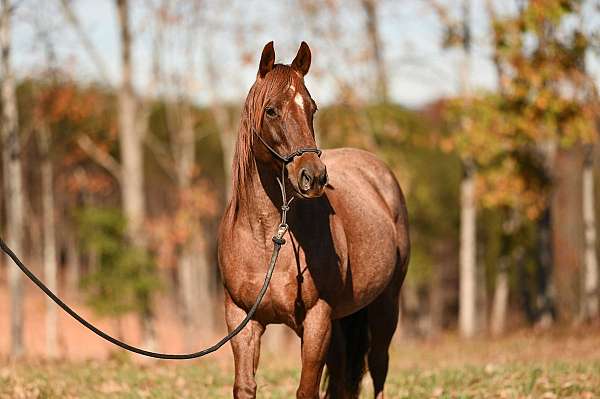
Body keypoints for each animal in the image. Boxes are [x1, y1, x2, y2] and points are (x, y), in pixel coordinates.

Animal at [218, 41, 410, 399]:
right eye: (271, 110)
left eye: (312, 108)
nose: (314, 176)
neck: (268, 240)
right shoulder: (242, 320)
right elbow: (245, 386)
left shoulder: (317, 319)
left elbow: (307, 388)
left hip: (385, 305)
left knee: (379, 366)